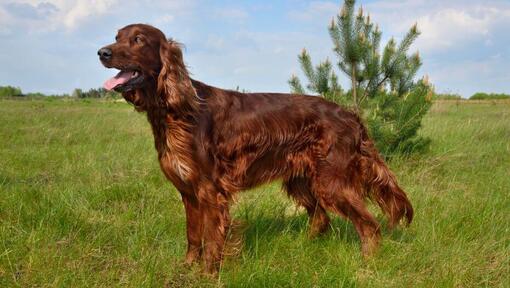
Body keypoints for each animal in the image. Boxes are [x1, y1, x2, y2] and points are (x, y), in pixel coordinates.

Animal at [97, 23, 412, 274]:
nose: (102, 52)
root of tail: (351, 114)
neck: (176, 110)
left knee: (369, 225)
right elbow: (193, 236)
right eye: (116, 36)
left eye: (138, 39)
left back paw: (367, 265)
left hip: (331, 182)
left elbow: (212, 240)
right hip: (302, 180)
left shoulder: (210, 191)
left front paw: (207, 275)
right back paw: (302, 249)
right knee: (321, 218)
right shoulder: (188, 191)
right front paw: (186, 267)